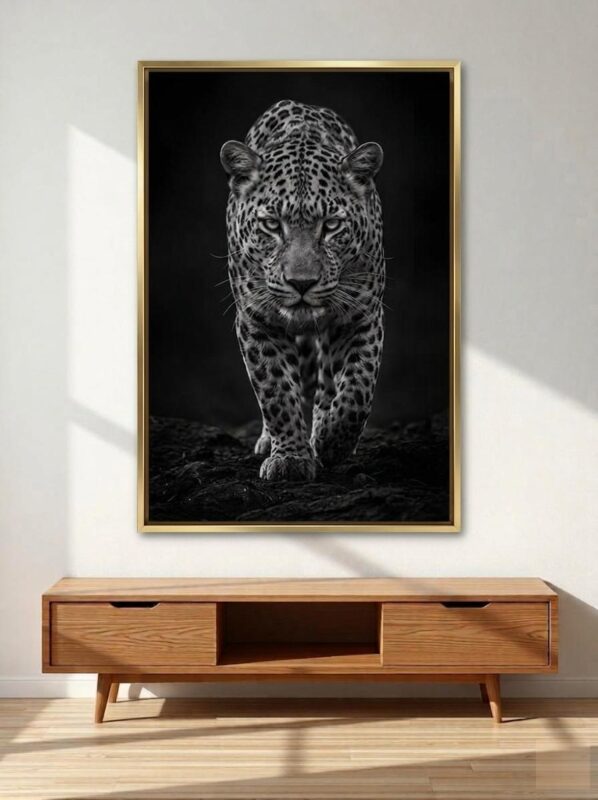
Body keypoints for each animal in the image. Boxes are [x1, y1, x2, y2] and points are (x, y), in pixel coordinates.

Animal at [220, 99, 385, 481]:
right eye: (271, 224)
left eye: (332, 225)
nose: (301, 283)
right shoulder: (256, 320)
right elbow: (276, 391)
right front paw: (290, 458)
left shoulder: (362, 315)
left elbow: (358, 387)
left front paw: (332, 441)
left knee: (326, 381)